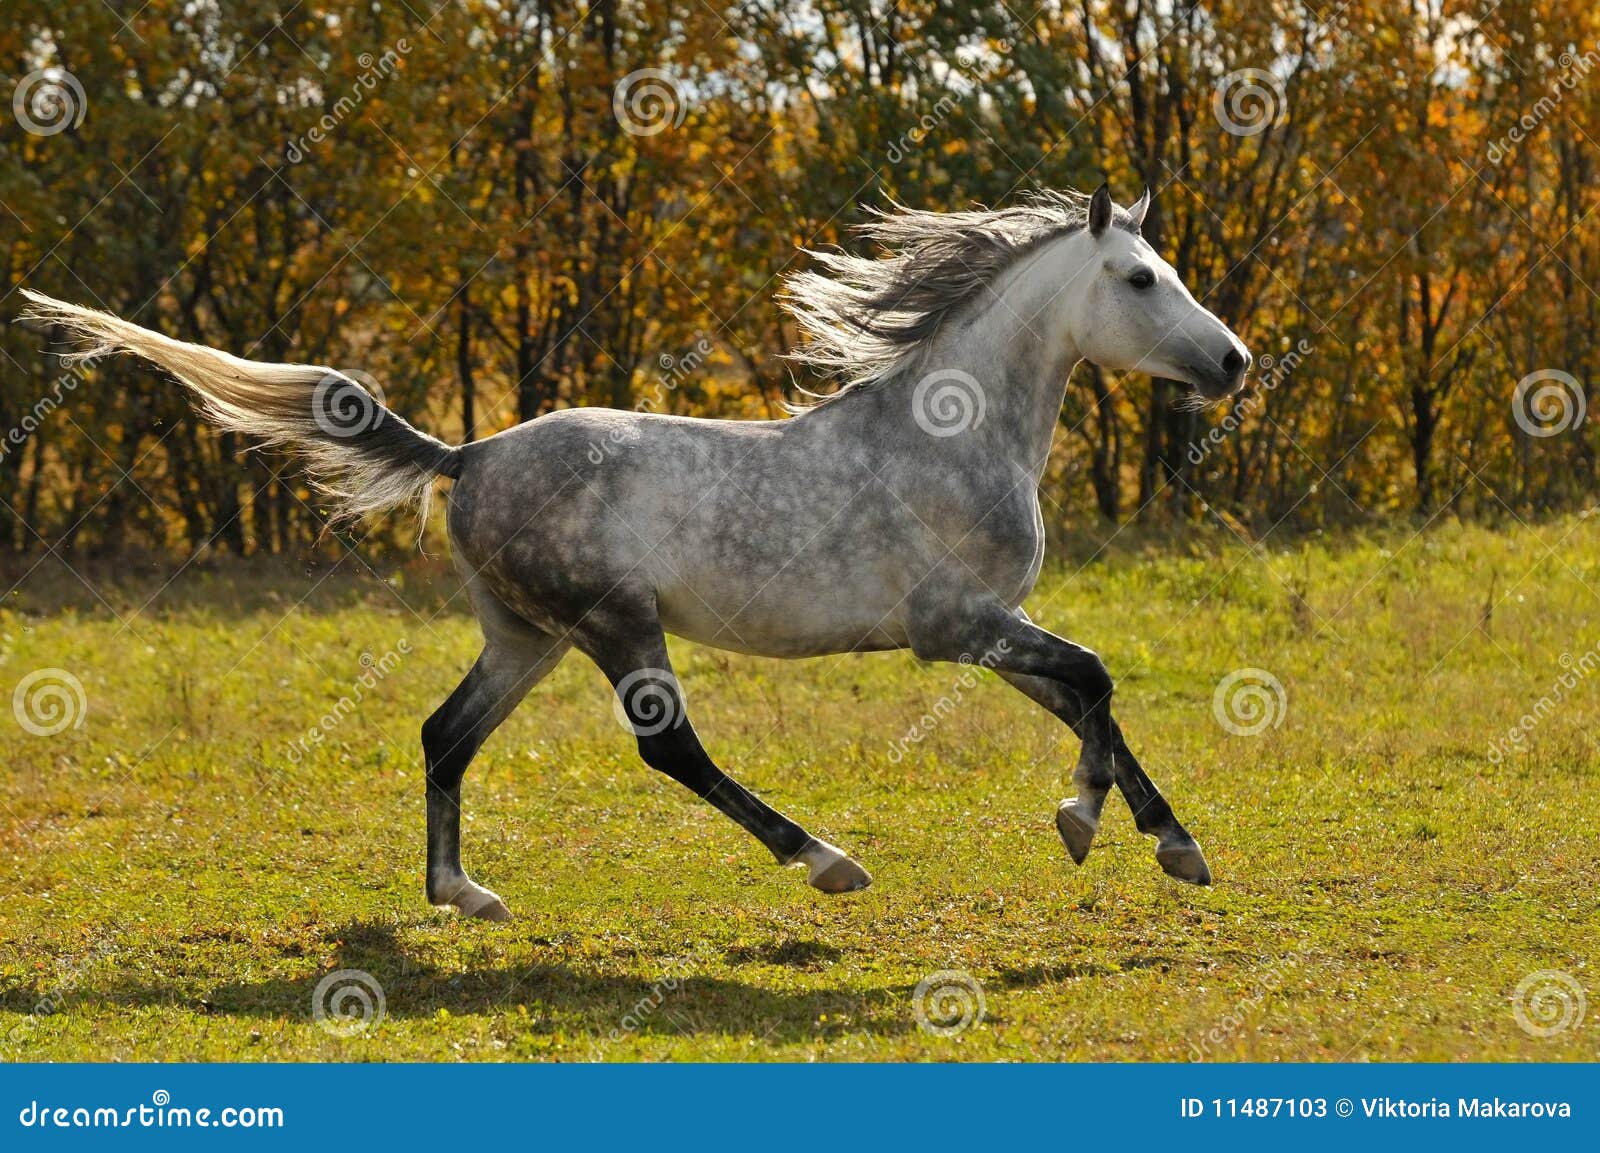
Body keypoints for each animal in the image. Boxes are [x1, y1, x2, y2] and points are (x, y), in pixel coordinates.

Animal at [22, 184, 1250, 922]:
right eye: (1140, 278)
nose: (1234, 361)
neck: (949, 430)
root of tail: (468, 452)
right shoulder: (954, 629)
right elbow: (1095, 677)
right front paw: (1094, 825)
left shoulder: (989, 630)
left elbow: (1088, 700)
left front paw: (1161, 841)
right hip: (612, 623)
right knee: (671, 752)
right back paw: (824, 859)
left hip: (524, 636)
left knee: (444, 734)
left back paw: (463, 893)